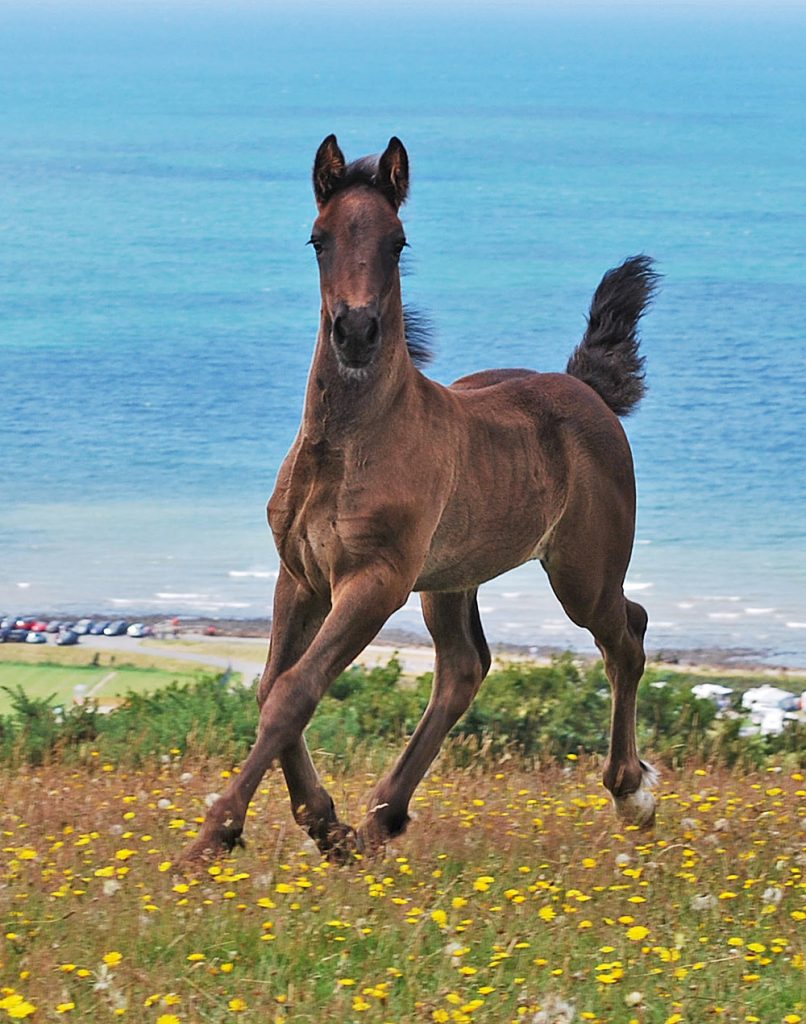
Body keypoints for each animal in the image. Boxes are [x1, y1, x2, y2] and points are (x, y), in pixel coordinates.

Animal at [184, 132, 663, 860]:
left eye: (398, 242)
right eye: (318, 238)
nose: (356, 332)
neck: (346, 447)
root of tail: (586, 389)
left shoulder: (375, 581)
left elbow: (296, 691)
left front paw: (216, 834)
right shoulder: (299, 575)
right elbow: (272, 688)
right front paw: (325, 824)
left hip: (582, 573)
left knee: (626, 635)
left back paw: (631, 792)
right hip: (450, 580)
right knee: (463, 667)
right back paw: (380, 818)